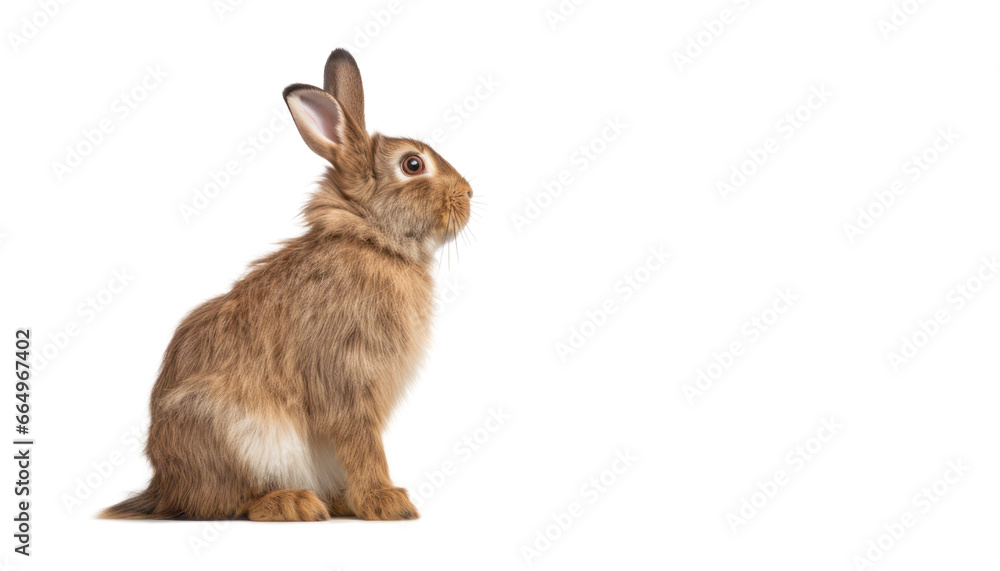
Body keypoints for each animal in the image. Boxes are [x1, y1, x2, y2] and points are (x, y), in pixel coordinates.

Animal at [100, 49, 473, 521]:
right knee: (231, 502)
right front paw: (387, 502)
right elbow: (363, 444)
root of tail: (165, 488)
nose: (469, 194)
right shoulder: (347, 377)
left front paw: (370, 501)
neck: (371, 238)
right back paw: (293, 502)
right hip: (238, 432)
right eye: (412, 164)